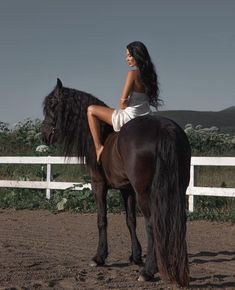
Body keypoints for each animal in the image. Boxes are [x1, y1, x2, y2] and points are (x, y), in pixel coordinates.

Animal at [41, 78, 191, 286]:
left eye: (52, 104)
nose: (44, 135)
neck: (102, 136)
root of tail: (164, 129)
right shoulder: (126, 190)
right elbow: (130, 221)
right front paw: (135, 256)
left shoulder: (98, 185)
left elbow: (102, 220)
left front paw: (99, 257)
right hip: (178, 188)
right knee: (179, 222)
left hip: (145, 192)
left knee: (152, 223)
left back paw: (148, 271)